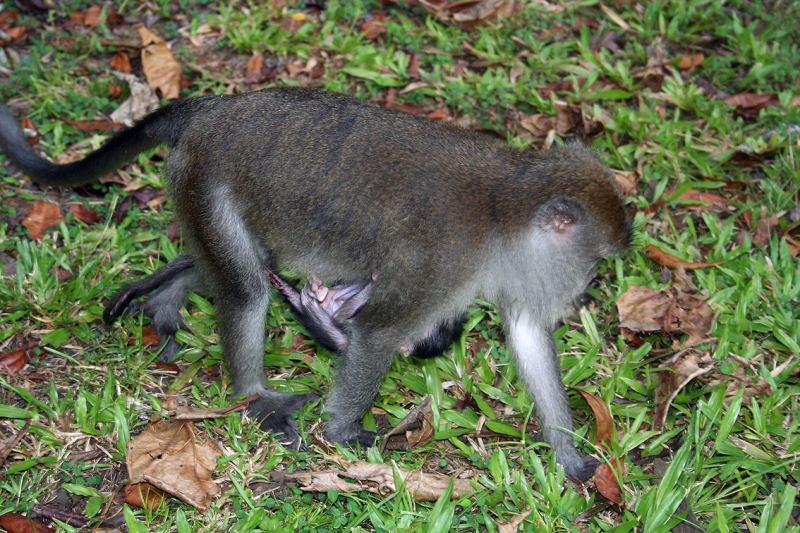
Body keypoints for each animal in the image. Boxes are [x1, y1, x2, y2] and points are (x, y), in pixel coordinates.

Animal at [0, 87, 632, 478]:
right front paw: (344, 430)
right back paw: (254, 393)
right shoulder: (442, 263)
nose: (586, 289)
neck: (505, 210)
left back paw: (175, 286)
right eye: (594, 262)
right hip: (203, 176)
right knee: (247, 288)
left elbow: (526, 334)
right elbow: (379, 334)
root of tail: (217, 110)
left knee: (242, 263)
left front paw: (568, 457)